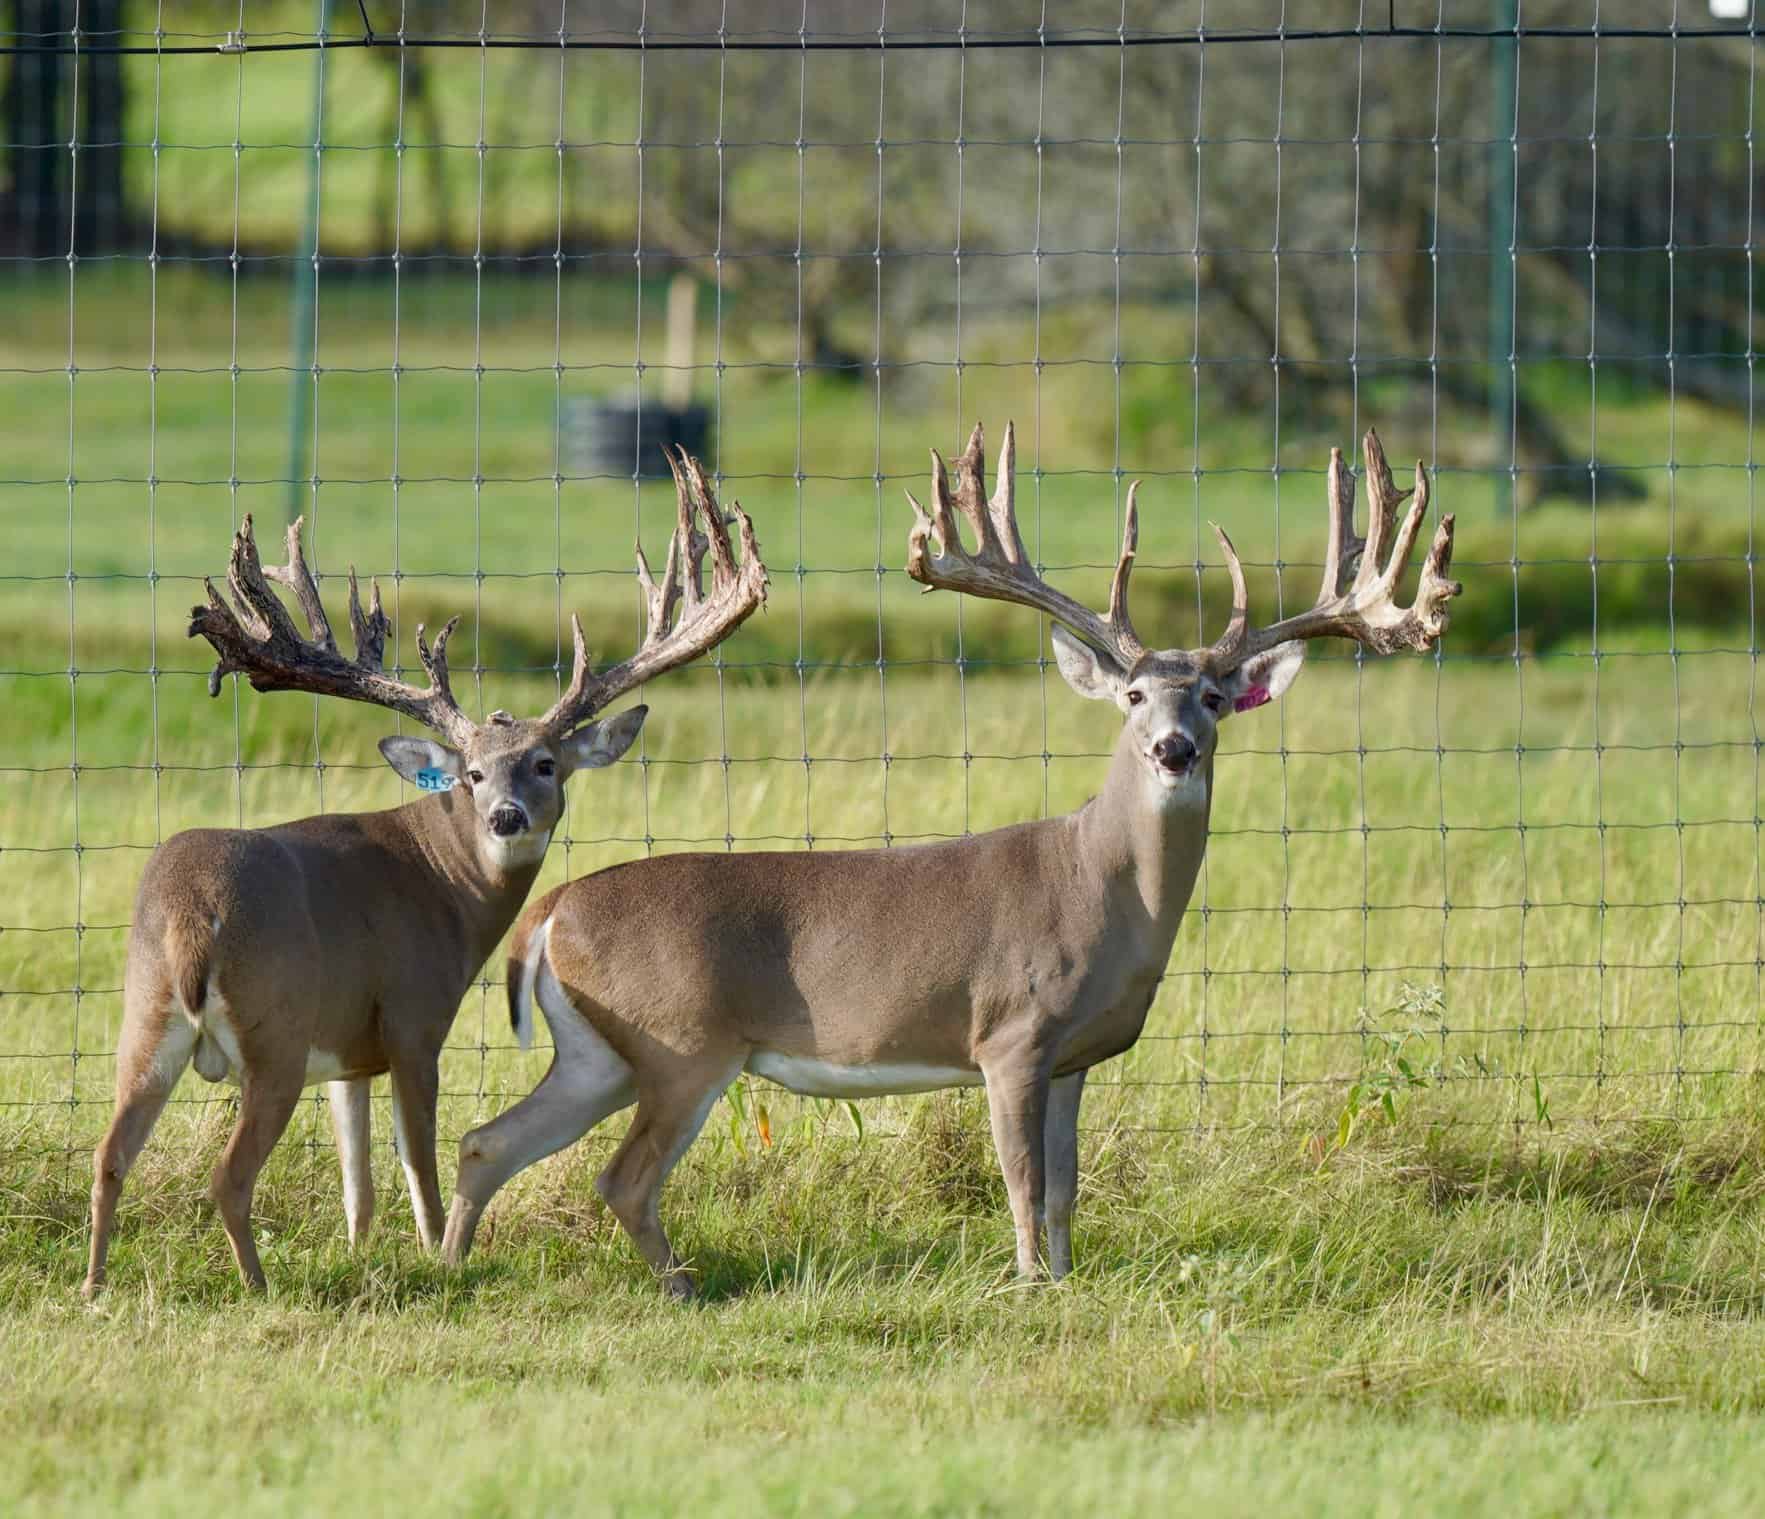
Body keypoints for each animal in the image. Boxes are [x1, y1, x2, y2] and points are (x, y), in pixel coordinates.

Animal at [82, 453, 768, 1297]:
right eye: (472, 773)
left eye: (545, 763)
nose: (505, 816)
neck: (441, 885)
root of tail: (188, 913)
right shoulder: (413, 1015)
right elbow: (418, 1161)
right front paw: (439, 1253)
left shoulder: (346, 1050)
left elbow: (357, 1175)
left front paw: (359, 1251)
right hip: (272, 1030)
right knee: (227, 1174)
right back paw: (255, 1284)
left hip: (144, 1015)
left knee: (109, 1155)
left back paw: (95, 1287)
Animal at [439, 424, 1459, 1298]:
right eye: (1133, 694)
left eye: (1211, 696)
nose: (1173, 749)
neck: (1103, 891)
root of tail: (551, 912)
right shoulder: (1010, 1029)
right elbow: (1019, 1178)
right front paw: (1027, 1282)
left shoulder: (1073, 1055)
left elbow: (1066, 1185)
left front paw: (1065, 1277)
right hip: (681, 1043)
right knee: (620, 1175)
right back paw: (681, 1286)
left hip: (598, 1053)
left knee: (488, 1140)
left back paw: (450, 1264)